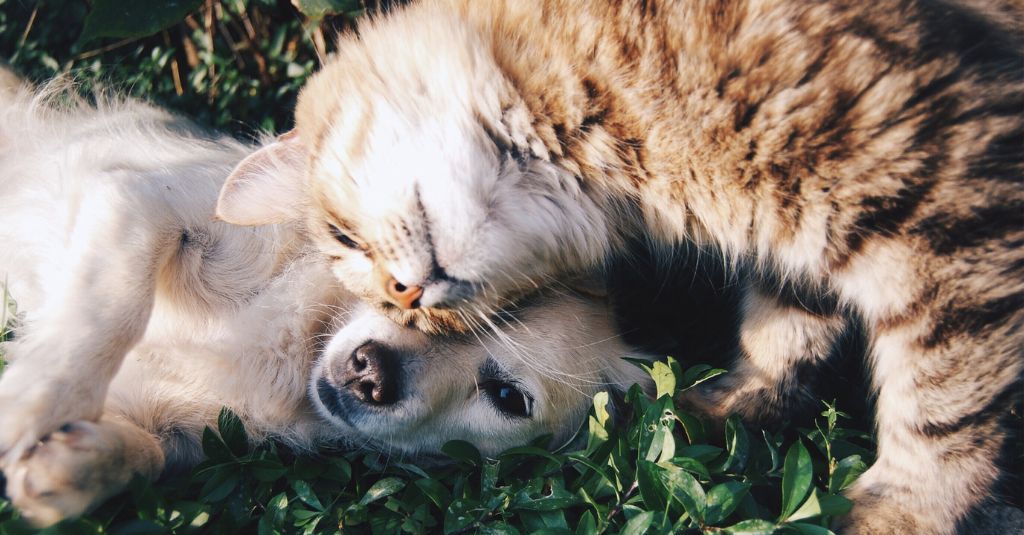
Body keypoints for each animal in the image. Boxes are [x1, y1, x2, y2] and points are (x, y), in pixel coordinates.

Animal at [218, 2, 1024, 528]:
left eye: (343, 238)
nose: (407, 295)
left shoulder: (947, 201)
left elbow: (942, 406)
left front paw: (903, 511)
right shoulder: (803, 235)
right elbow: (784, 331)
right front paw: (726, 406)